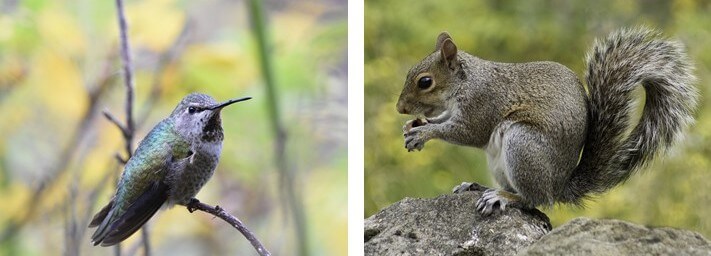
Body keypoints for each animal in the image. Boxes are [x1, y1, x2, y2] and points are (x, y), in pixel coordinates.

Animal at [398, 28, 700, 215]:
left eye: (425, 82)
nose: (400, 108)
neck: (465, 82)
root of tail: (558, 186)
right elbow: (445, 119)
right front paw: (415, 125)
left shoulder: (482, 104)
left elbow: (466, 132)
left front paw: (424, 133)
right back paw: (479, 187)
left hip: (523, 145)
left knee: (534, 200)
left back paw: (503, 197)